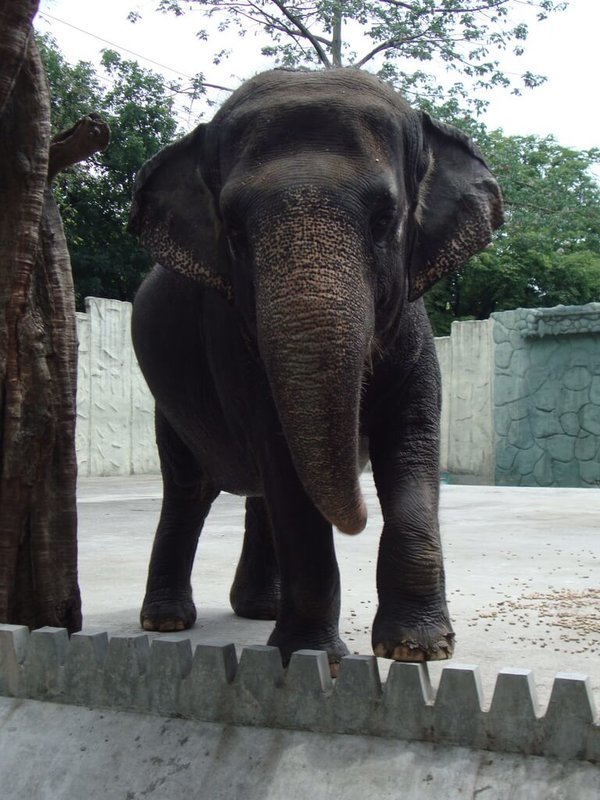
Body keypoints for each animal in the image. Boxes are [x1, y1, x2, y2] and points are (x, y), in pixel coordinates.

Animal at [129, 67, 504, 668]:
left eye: (384, 219)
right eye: (234, 229)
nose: (357, 518)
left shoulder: (415, 333)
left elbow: (411, 442)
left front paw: (417, 650)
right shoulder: (235, 343)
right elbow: (285, 461)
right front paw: (306, 658)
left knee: (254, 494)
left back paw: (258, 610)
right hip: (172, 407)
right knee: (190, 490)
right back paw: (167, 621)